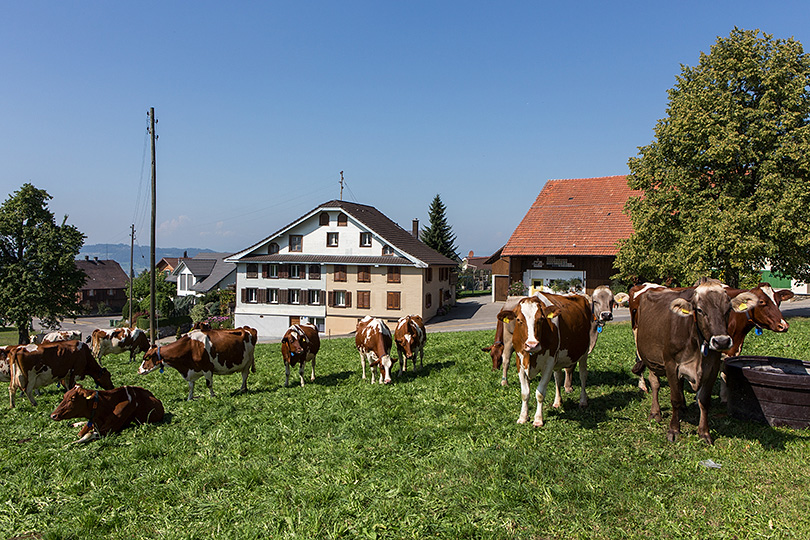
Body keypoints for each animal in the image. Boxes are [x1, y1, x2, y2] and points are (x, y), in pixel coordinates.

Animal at [492, 292, 592, 426]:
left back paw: (583, 401)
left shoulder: (548, 363)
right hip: (558, 360)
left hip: (584, 353)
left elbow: (540, 393)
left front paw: (538, 419)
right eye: (518, 320)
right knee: (558, 377)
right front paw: (523, 417)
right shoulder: (520, 363)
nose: (532, 344)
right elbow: (525, 393)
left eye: (541, 319)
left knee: (583, 375)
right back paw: (557, 402)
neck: (531, 357)